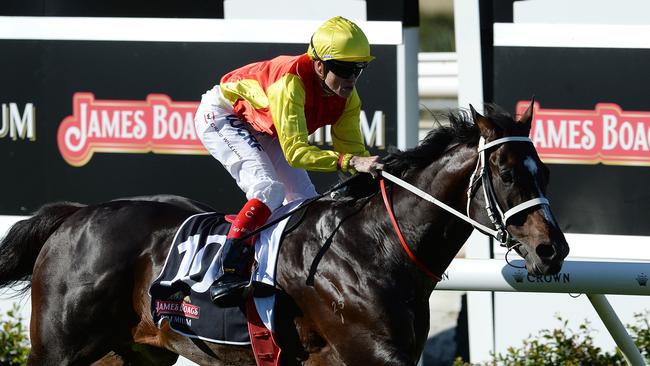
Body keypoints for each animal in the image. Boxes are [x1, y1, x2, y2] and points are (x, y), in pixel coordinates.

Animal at [0, 102, 568, 364]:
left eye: (544, 171)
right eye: (508, 174)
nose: (553, 249)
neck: (376, 248)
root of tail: (75, 216)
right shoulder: (372, 353)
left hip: (134, 352)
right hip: (59, 350)